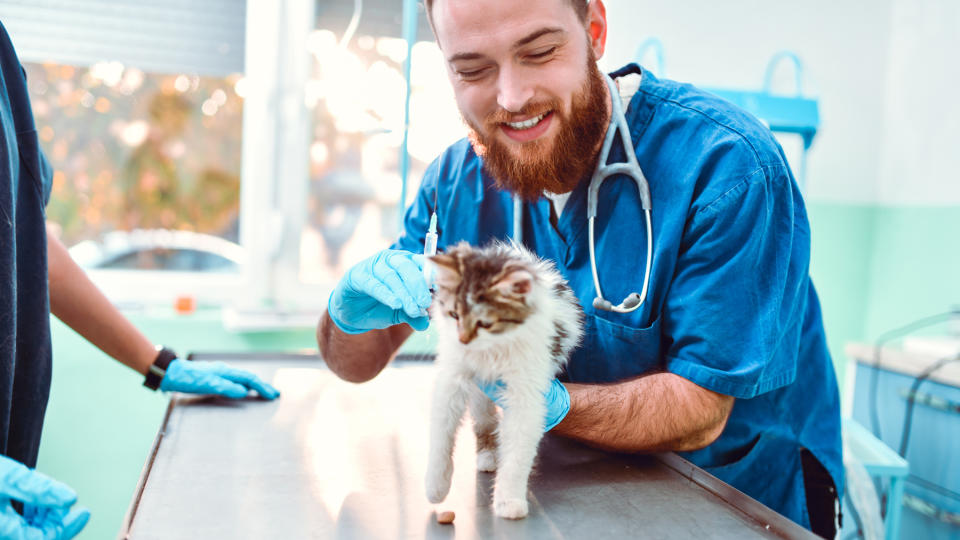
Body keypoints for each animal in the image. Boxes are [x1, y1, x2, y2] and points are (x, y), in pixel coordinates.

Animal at [424, 240, 580, 520]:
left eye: (485, 323)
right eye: (454, 315)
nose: (463, 339)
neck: (490, 350)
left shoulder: (525, 393)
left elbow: (517, 453)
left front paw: (509, 500)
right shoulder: (452, 378)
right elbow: (441, 436)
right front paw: (435, 486)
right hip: (479, 395)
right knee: (484, 421)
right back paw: (487, 455)